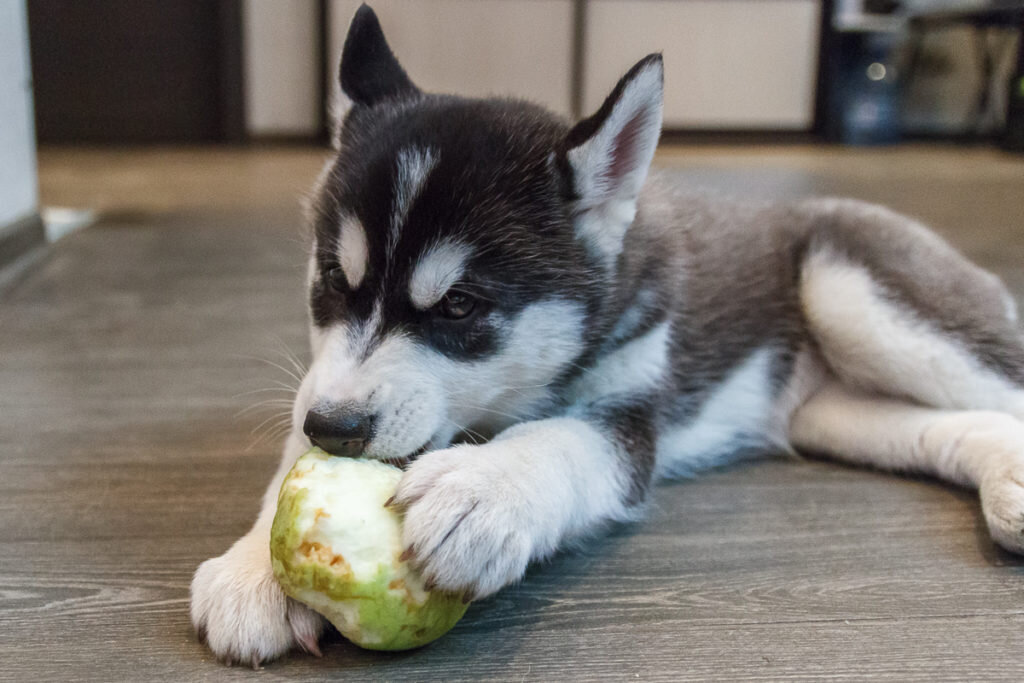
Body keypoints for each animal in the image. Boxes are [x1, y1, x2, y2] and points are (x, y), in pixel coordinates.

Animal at [190, 3, 1024, 667]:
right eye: (335, 276)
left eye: (459, 306)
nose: (336, 426)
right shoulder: (324, 382)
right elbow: (293, 454)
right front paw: (252, 567)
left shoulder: (627, 421)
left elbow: (561, 439)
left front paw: (483, 488)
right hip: (835, 410)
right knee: (954, 423)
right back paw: (1008, 481)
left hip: (854, 295)